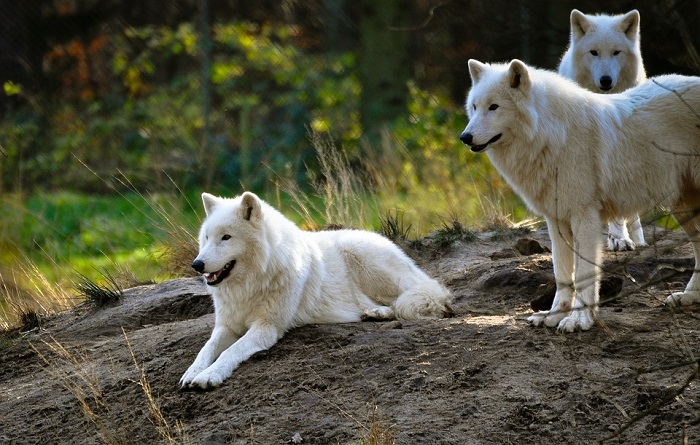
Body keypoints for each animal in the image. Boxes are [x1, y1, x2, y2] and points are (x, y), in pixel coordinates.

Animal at [180, 191, 452, 388]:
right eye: (206, 237)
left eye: (226, 237)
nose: (197, 264)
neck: (251, 284)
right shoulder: (226, 326)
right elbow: (206, 349)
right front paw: (192, 372)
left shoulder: (267, 328)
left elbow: (230, 351)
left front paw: (209, 376)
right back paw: (374, 313)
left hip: (364, 259)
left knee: (421, 297)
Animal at [460, 59, 700, 332]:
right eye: (474, 107)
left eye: (494, 107)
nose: (464, 137)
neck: (552, 135)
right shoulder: (556, 220)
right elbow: (562, 275)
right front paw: (553, 315)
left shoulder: (585, 218)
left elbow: (584, 275)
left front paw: (579, 320)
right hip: (681, 208)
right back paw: (689, 297)